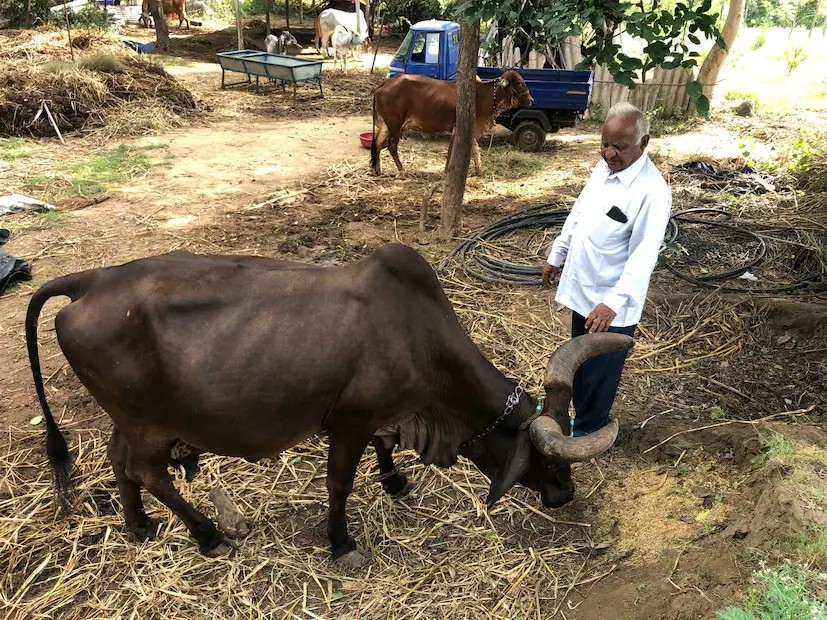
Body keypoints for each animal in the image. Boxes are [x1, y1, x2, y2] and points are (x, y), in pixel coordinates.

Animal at [27, 245, 632, 566]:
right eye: (546, 459)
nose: (564, 493)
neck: (420, 336)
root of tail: (89, 282)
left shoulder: (383, 417)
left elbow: (387, 448)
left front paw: (395, 480)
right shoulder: (350, 422)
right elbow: (339, 484)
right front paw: (341, 542)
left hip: (133, 417)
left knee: (118, 461)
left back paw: (139, 526)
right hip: (148, 424)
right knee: (148, 471)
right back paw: (205, 533)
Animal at [370, 71, 533, 176]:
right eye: (519, 83)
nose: (531, 99)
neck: (483, 96)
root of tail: (384, 83)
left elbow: (474, 149)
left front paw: (479, 171)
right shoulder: (459, 127)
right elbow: (452, 151)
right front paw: (447, 171)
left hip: (385, 124)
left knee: (378, 144)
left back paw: (377, 170)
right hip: (395, 124)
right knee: (391, 146)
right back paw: (402, 170)